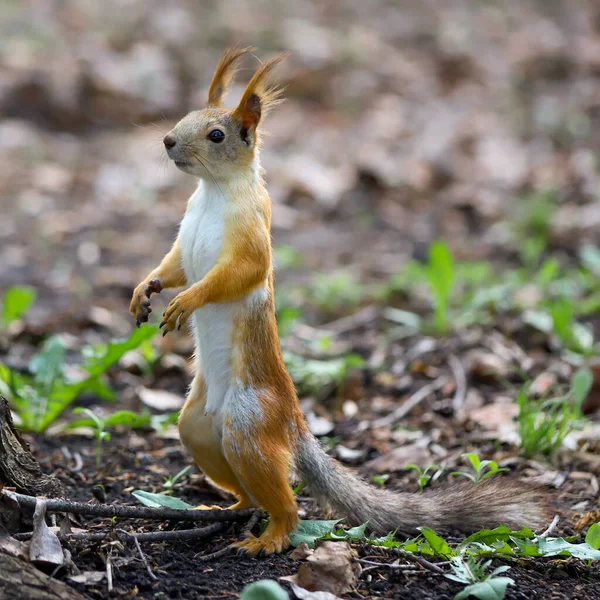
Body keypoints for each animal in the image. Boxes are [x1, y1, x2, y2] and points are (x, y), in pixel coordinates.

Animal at [129, 49, 548, 556]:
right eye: (187, 115)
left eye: (216, 135)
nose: (168, 140)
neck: (212, 191)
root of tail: (293, 423)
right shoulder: (184, 235)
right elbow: (172, 264)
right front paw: (145, 289)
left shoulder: (252, 234)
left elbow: (234, 274)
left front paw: (187, 300)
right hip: (200, 429)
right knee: (244, 487)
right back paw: (228, 507)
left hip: (248, 426)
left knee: (284, 501)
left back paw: (271, 537)